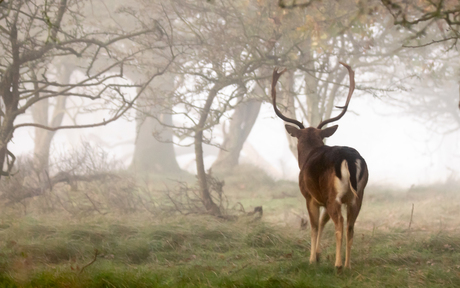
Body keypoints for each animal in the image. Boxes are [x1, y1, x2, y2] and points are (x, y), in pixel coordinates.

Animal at [272, 62, 368, 270]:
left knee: (340, 223)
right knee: (350, 226)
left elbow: (314, 226)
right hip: (358, 195)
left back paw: (338, 265)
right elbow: (323, 222)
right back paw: (348, 265)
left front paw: (311, 259)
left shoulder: (310, 196)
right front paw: (317, 255)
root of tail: (350, 158)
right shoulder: (323, 198)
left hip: (335, 195)